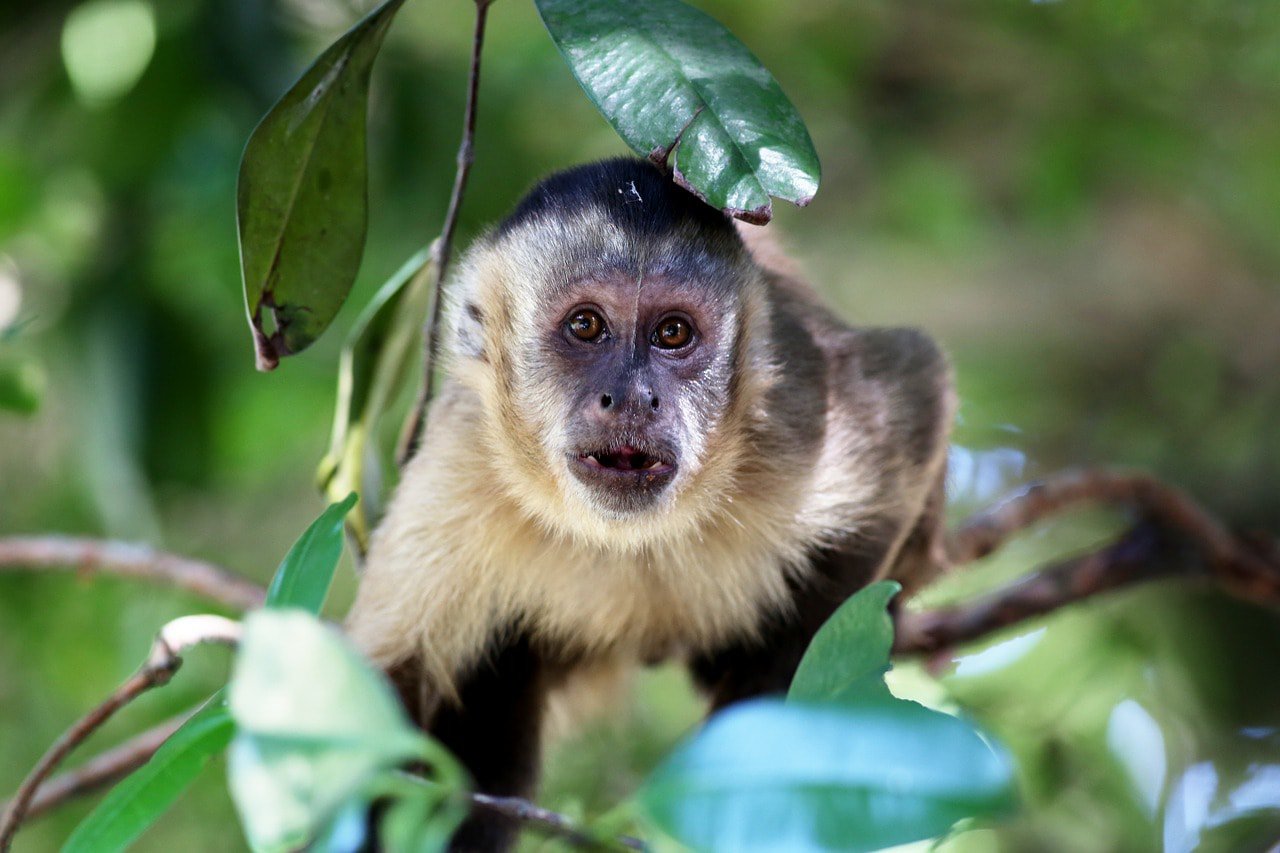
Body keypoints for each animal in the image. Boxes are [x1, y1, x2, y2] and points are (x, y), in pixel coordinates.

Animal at [344, 158, 955, 850]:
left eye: (673, 333)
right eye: (585, 325)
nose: (634, 397)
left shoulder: (796, 414)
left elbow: (916, 385)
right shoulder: (461, 462)